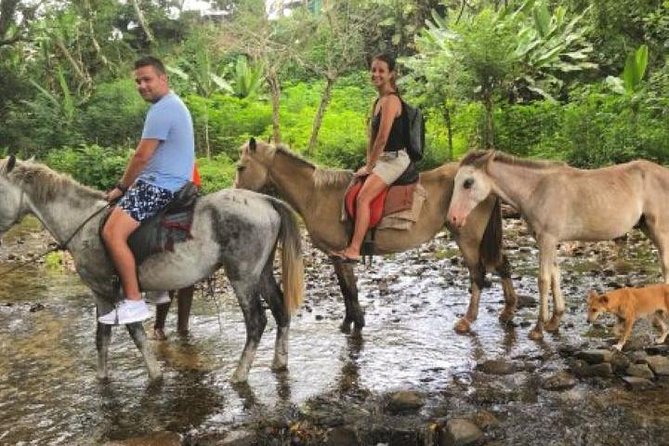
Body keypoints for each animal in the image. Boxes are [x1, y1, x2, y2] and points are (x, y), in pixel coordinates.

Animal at [0, 155, 302, 382]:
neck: (83, 225)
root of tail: (266, 201)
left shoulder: (113, 291)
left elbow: (136, 334)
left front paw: (155, 375)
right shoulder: (100, 295)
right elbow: (102, 338)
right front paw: (102, 378)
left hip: (242, 277)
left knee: (257, 322)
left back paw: (239, 375)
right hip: (262, 273)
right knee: (280, 311)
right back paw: (279, 362)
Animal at [235, 139, 520, 334]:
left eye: (241, 167)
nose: (234, 193)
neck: (317, 195)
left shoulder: (341, 255)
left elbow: (349, 291)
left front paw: (355, 324)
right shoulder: (336, 257)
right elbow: (347, 290)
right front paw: (350, 322)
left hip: (469, 237)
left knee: (478, 274)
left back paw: (468, 320)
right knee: (502, 264)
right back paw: (507, 312)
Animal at [446, 151, 668, 342]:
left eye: (468, 183)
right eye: (455, 182)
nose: (453, 219)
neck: (537, 190)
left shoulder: (547, 239)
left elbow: (543, 280)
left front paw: (538, 328)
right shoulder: (548, 241)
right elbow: (555, 275)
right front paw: (554, 321)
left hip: (660, 231)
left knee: (665, 266)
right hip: (647, 227)